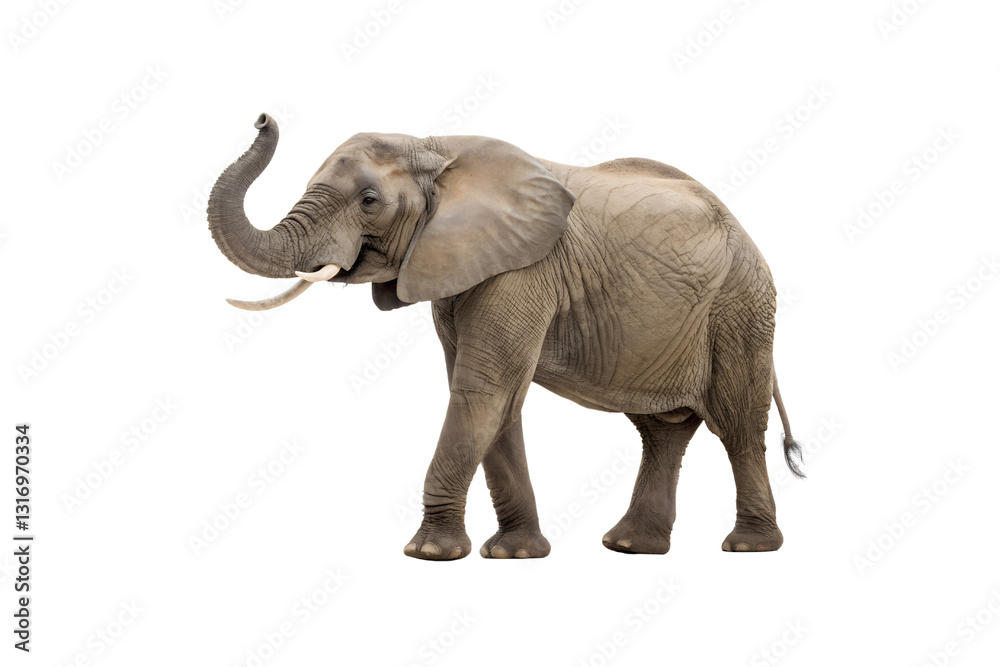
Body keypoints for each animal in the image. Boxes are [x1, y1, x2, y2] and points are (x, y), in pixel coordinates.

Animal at [207, 112, 804, 560]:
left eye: (369, 201)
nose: (262, 118)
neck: (436, 148)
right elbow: (498, 399)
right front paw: (515, 554)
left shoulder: (524, 271)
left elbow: (483, 390)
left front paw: (429, 554)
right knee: (662, 430)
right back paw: (631, 546)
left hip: (740, 306)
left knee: (737, 422)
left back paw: (748, 547)